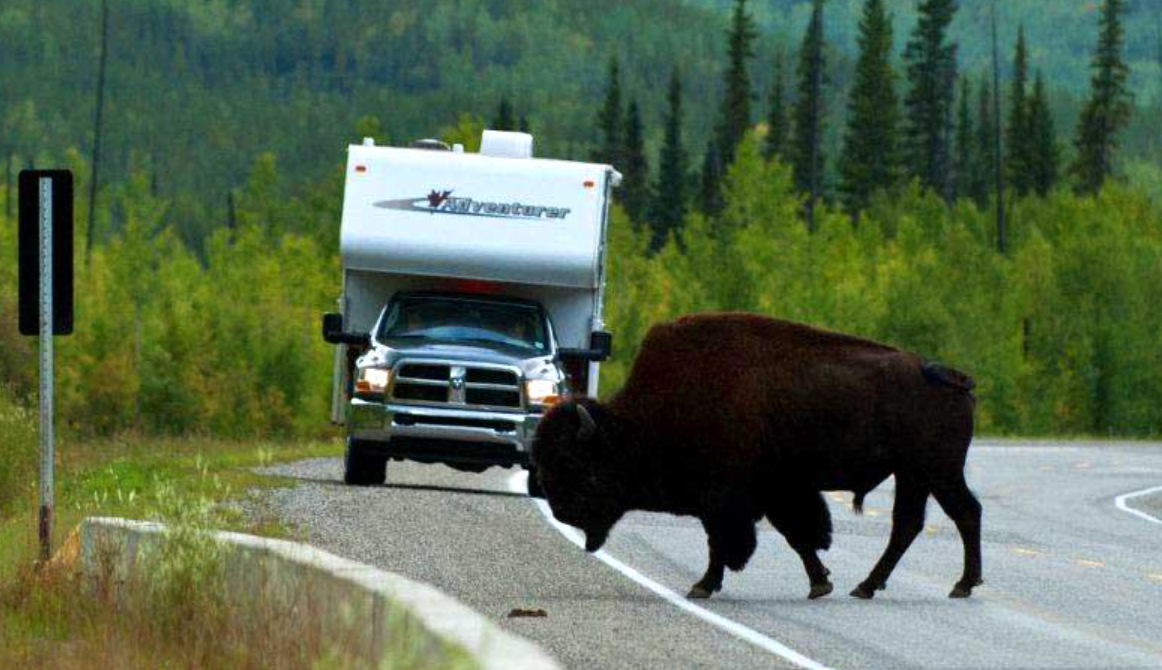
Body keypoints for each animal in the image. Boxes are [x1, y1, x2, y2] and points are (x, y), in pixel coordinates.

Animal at [532, 313, 981, 600]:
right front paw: (821, 583)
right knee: (919, 522)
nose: (562, 512)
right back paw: (877, 586)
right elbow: (798, 536)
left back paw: (954, 585)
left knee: (954, 515)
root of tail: (954, 377)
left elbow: (728, 541)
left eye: (575, 465)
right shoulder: (775, 493)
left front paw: (702, 586)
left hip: (933, 472)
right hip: (918, 476)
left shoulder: (727, 499)